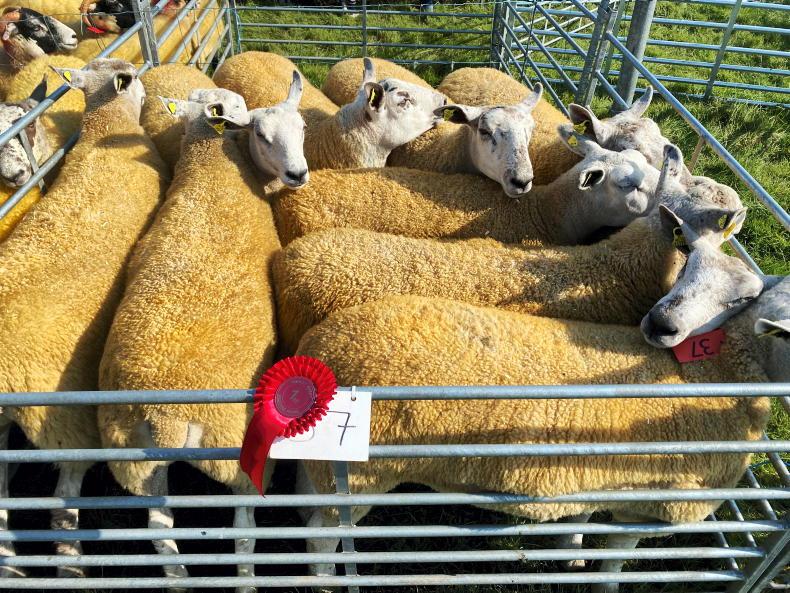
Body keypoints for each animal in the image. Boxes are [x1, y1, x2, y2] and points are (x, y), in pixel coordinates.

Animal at [97, 83, 302, 592]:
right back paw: (246, 580)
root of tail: (167, 415)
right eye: (260, 132)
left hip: (133, 461)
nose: (297, 174)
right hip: (237, 450)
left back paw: (177, 579)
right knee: (243, 527)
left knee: (159, 528)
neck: (209, 164)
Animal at [293, 241, 782, 592]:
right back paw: (326, 584)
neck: (715, 375)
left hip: (328, 466)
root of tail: (322, 343)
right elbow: (615, 564)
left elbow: (581, 519)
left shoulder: (596, 475)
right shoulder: (653, 506)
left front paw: (571, 552)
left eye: (741, 297)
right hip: (361, 476)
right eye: (684, 269)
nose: (662, 325)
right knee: (320, 538)